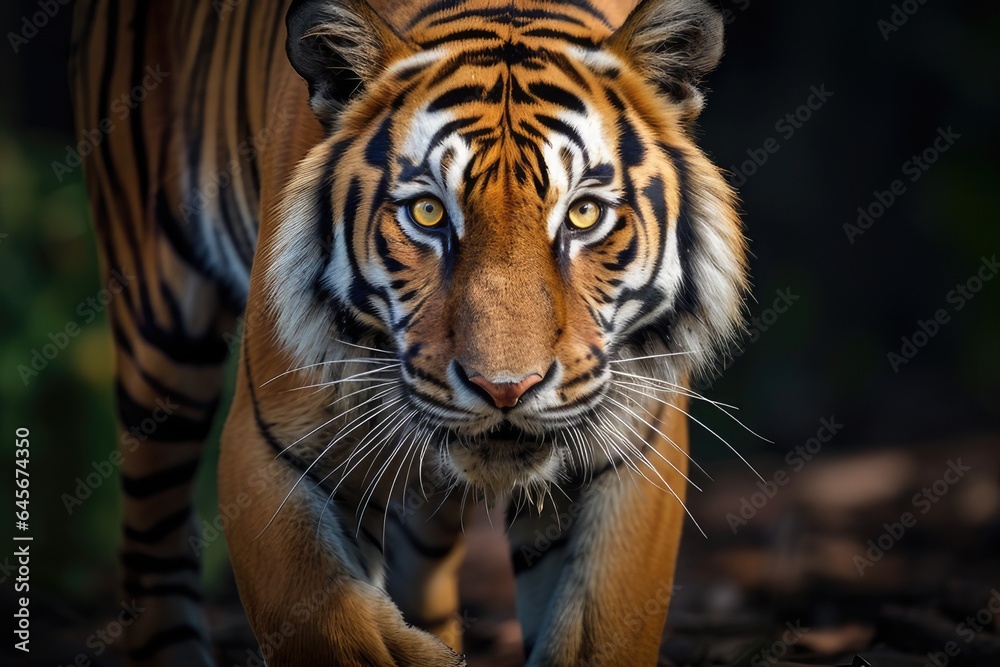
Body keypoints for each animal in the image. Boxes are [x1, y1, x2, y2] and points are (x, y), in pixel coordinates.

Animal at [70, 0, 748, 664]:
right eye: (427, 213)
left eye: (583, 213)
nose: (505, 389)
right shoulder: (267, 444)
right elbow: (327, 622)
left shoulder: (635, 454)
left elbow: (596, 634)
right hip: (158, 323)